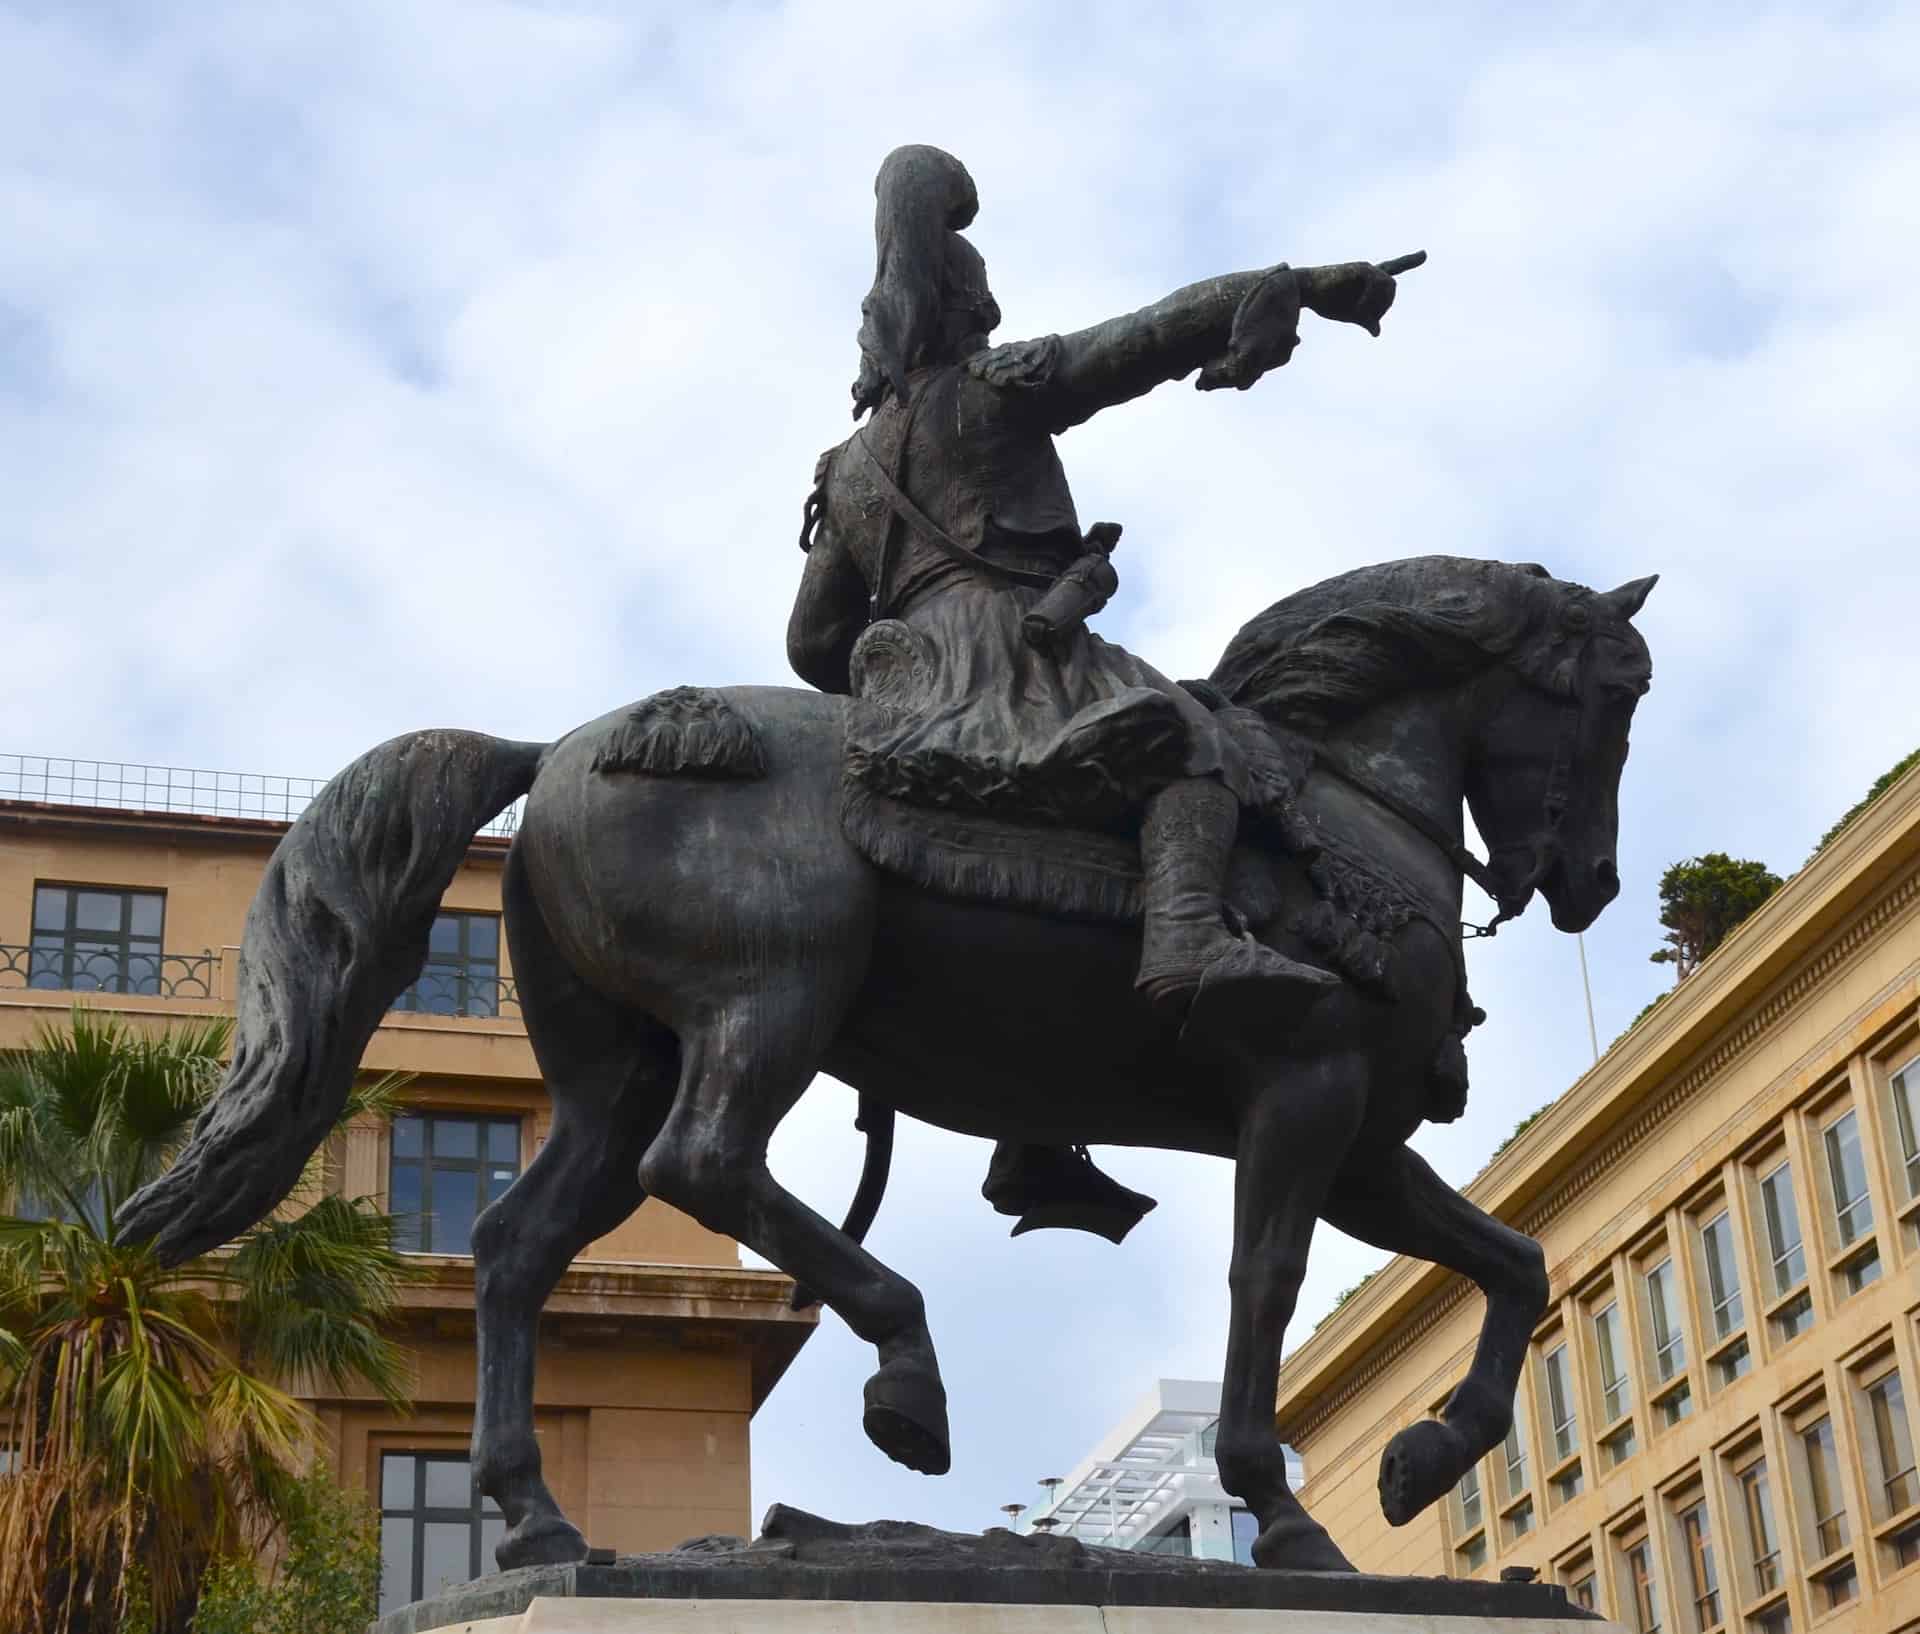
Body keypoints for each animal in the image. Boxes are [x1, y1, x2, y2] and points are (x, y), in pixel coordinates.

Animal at [120, 556, 1651, 1582]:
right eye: (1617, 697)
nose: (1586, 881)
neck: (1341, 805)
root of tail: (555, 752)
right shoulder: (1307, 1092)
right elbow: (1264, 1280)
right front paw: (1280, 1510)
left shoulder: (1363, 1141)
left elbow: (1515, 1261)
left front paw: (1422, 1455)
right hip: (774, 994)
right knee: (707, 1161)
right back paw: (904, 1376)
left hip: (617, 1066)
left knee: (516, 1243)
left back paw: (542, 1521)